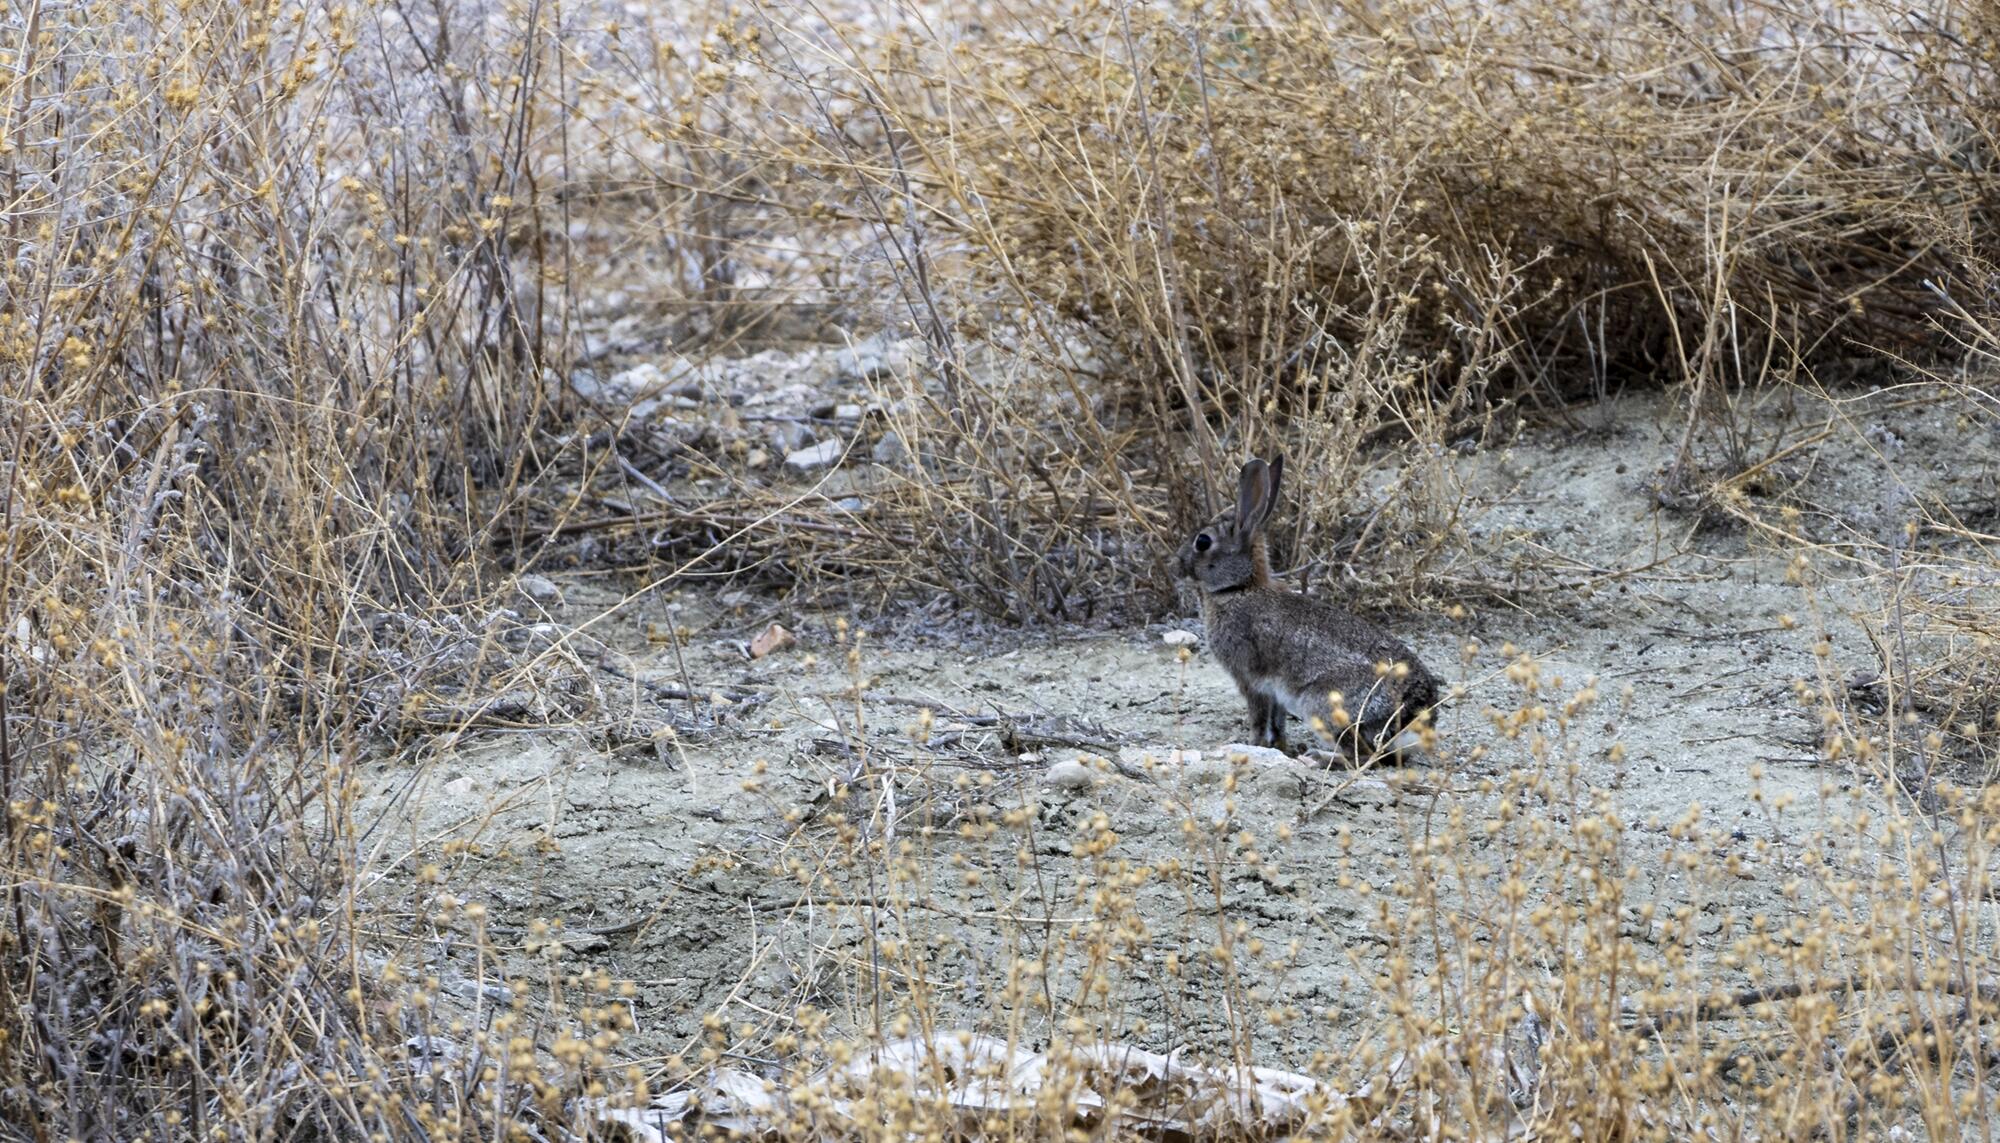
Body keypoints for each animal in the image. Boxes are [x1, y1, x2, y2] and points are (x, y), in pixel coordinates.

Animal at [1168, 455, 1440, 759]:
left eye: (1202, 541)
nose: (1175, 565)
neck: (1240, 588)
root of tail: (1413, 715)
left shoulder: (1250, 680)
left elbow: (1259, 718)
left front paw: (1253, 744)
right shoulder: (1275, 691)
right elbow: (1277, 721)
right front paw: (1280, 746)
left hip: (1319, 703)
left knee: (1362, 755)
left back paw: (1317, 758)